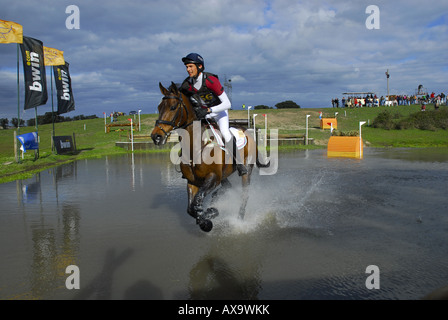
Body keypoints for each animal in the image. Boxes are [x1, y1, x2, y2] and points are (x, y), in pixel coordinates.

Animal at [150, 82, 270, 232]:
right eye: (159, 107)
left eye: (173, 107)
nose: (156, 136)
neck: (195, 147)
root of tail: (247, 131)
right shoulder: (193, 181)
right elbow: (191, 208)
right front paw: (209, 214)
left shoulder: (212, 177)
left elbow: (197, 202)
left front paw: (208, 218)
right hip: (224, 175)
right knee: (227, 187)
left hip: (246, 171)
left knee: (244, 194)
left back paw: (239, 220)